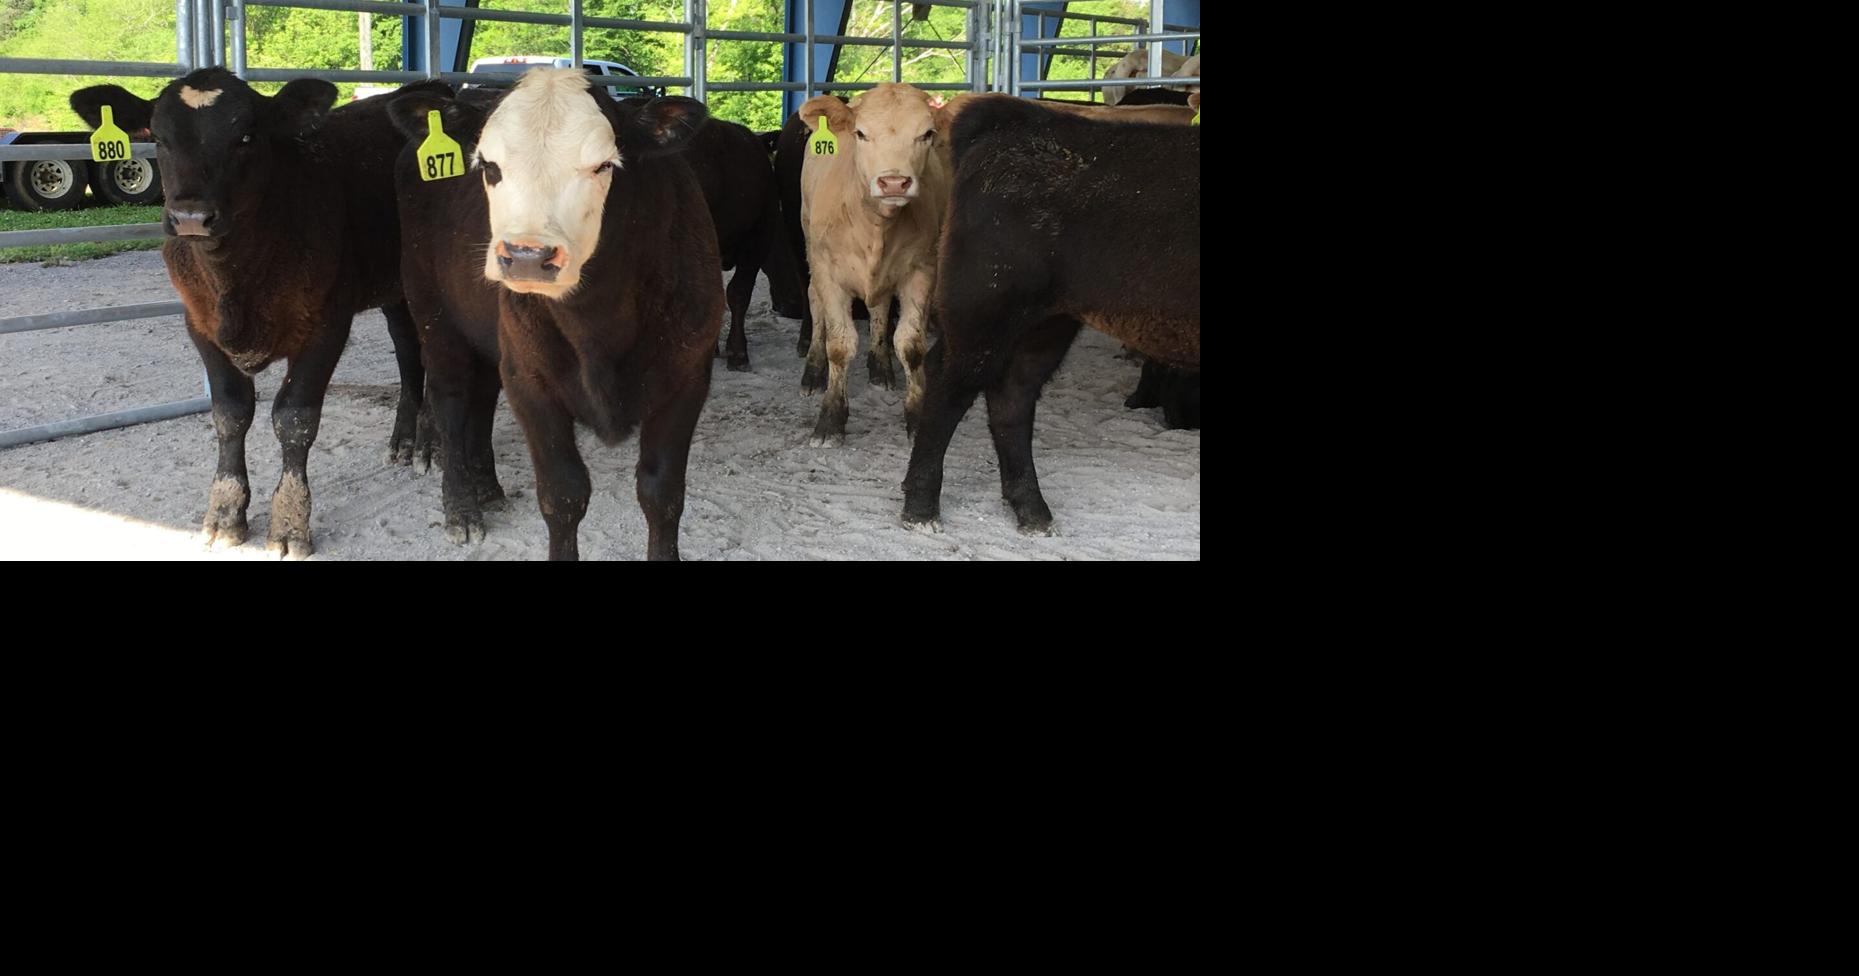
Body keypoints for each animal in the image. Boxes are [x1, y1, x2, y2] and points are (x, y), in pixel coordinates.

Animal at [70, 68, 436, 559]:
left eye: (245, 136)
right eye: (158, 138)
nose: (190, 216)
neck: (235, 284)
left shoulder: (326, 324)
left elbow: (295, 418)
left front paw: (290, 523)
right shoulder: (199, 324)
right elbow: (229, 413)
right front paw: (225, 513)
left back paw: (430, 445)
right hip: (391, 285)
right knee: (407, 349)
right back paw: (403, 440)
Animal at [390, 69, 721, 560]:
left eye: (604, 166)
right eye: (488, 166)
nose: (527, 256)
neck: (599, 324)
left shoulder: (687, 376)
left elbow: (661, 493)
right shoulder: (530, 380)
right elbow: (563, 495)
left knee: (482, 396)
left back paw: (487, 485)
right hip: (433, 313)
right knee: (450, 399)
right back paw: (462, 509)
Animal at [795, 84, 953, 446]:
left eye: (926, 134)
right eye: (861, 133)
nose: (894, 182)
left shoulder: (922, 271)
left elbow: (910, 344)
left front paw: (916, 416)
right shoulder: (829, 273)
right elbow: (839, 345)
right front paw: (830, 420)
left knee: (879, 307)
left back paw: (881, 367)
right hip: (810, 245)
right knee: (814, 302)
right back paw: (813, 371)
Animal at [901, 94, 1199, 533]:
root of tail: (1013, 123)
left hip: (1046, 321)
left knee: (1012, 394)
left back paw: (1032, 509)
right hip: (983, 305)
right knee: (949, 384)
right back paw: (921, 508)